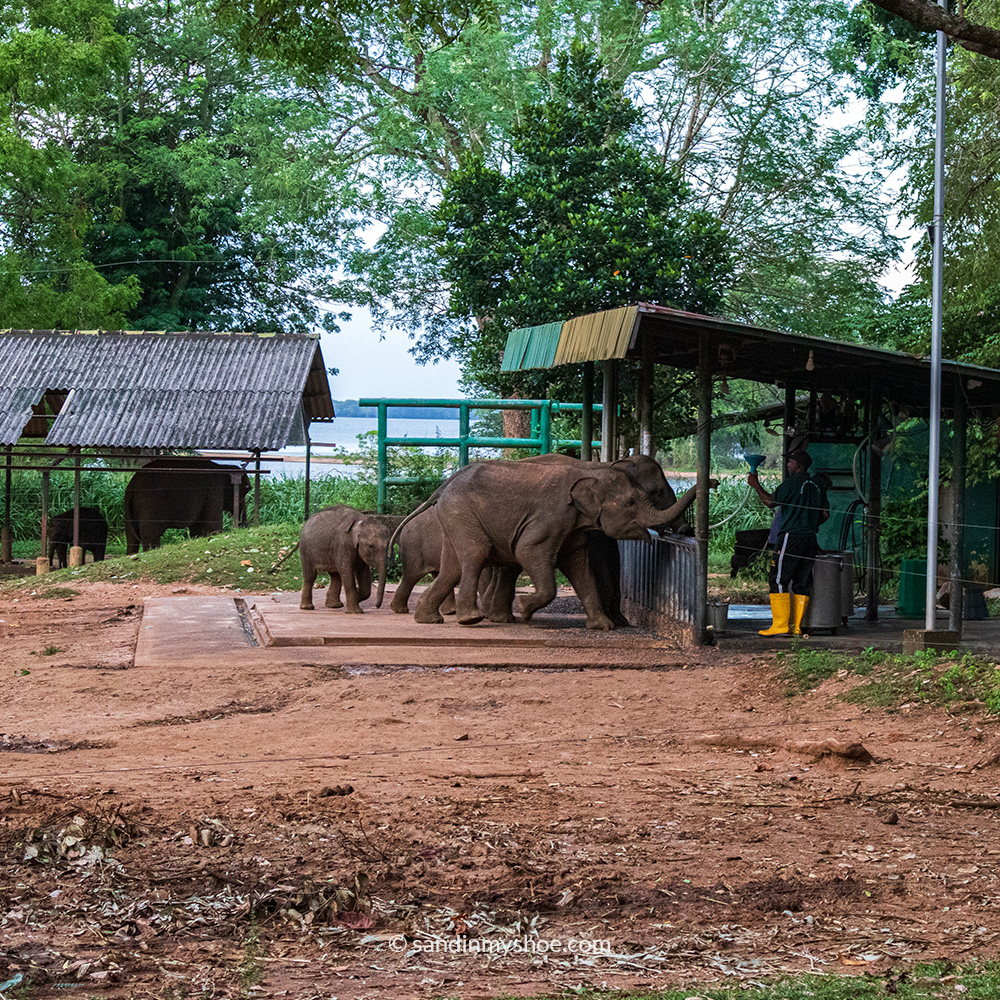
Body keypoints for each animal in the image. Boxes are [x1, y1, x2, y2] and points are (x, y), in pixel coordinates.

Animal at [409, 459, 699, 630]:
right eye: (632, 502)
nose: (687, 531)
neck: (595, 469)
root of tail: (445, 485)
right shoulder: (553, 515)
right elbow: (528, 551)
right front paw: (525, 610)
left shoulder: (576, 525)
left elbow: (579, 566)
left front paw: (603, 626)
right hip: (463, 514)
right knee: (476, 554)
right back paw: (473, 619)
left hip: (455, 518)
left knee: (453, 565)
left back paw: (429, 618)